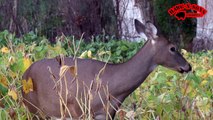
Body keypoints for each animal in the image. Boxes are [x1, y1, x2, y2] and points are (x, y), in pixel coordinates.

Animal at [21, 19, 191, 119]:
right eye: (172, 48)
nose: (188, 66)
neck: (112, 86)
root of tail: (24, 74)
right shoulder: (79, 109)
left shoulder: (108, 113)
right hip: (34, 108)